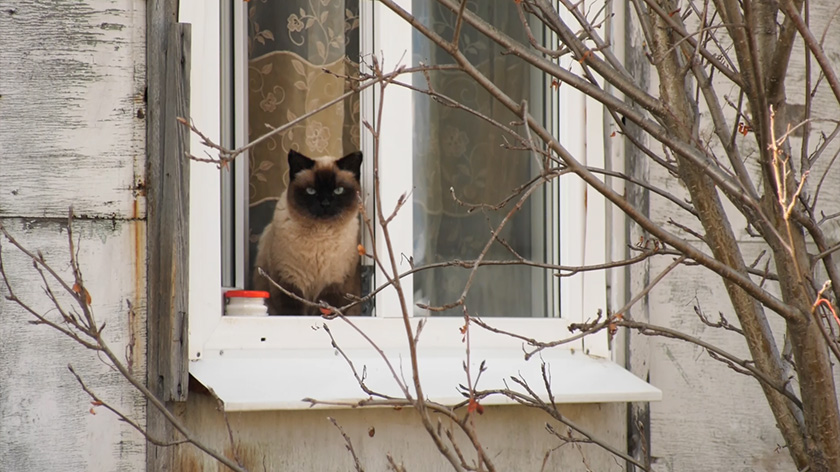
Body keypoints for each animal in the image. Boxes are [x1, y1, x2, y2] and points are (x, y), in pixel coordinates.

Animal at [254, 149, 362, 316]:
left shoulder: (334, 284)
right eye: (311, 191)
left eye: (338, 190)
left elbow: (326, 310)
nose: (325, 203)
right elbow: (292, 312)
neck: (320, 236)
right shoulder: (288, 281)